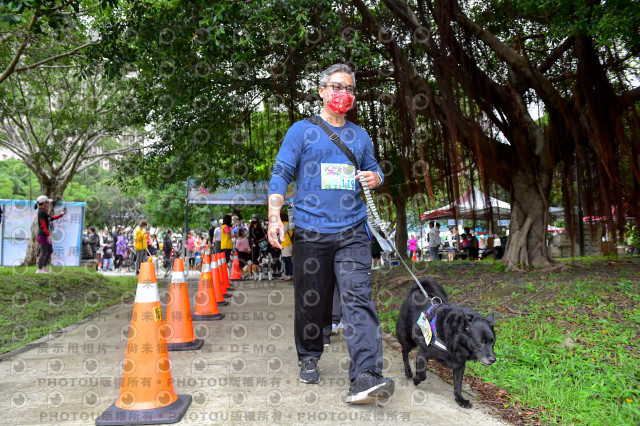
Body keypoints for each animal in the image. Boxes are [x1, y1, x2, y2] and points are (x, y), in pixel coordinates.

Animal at [398, 278, 498, 408]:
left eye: (493, 342)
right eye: (481, 343)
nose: (493, 360)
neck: (455, 340)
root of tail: (416, 292)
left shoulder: (460, 363)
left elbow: (458, 384)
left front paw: (460, 399)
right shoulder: (423, 351)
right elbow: (422, 374)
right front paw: (416, 379)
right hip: (408, 340)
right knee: (404, 352)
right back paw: (408, 372)